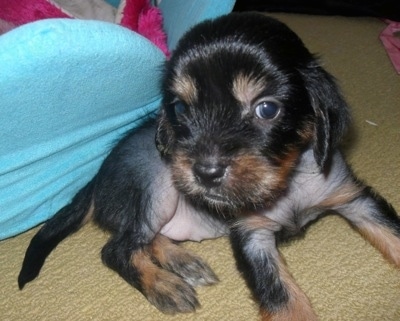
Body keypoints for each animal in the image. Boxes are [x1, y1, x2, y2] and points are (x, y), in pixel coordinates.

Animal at [18, 13, 400, 320]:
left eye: (267, 109)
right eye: (180, 108)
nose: (206, 173)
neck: (288, 184)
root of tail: (96, 179)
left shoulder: (353, 197)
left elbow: (392, 234)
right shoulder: (252, 236)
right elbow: (282, 299)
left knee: (143, 238)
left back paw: (182, 262)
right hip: (155, 185)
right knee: (117, 248)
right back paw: (164, 284)